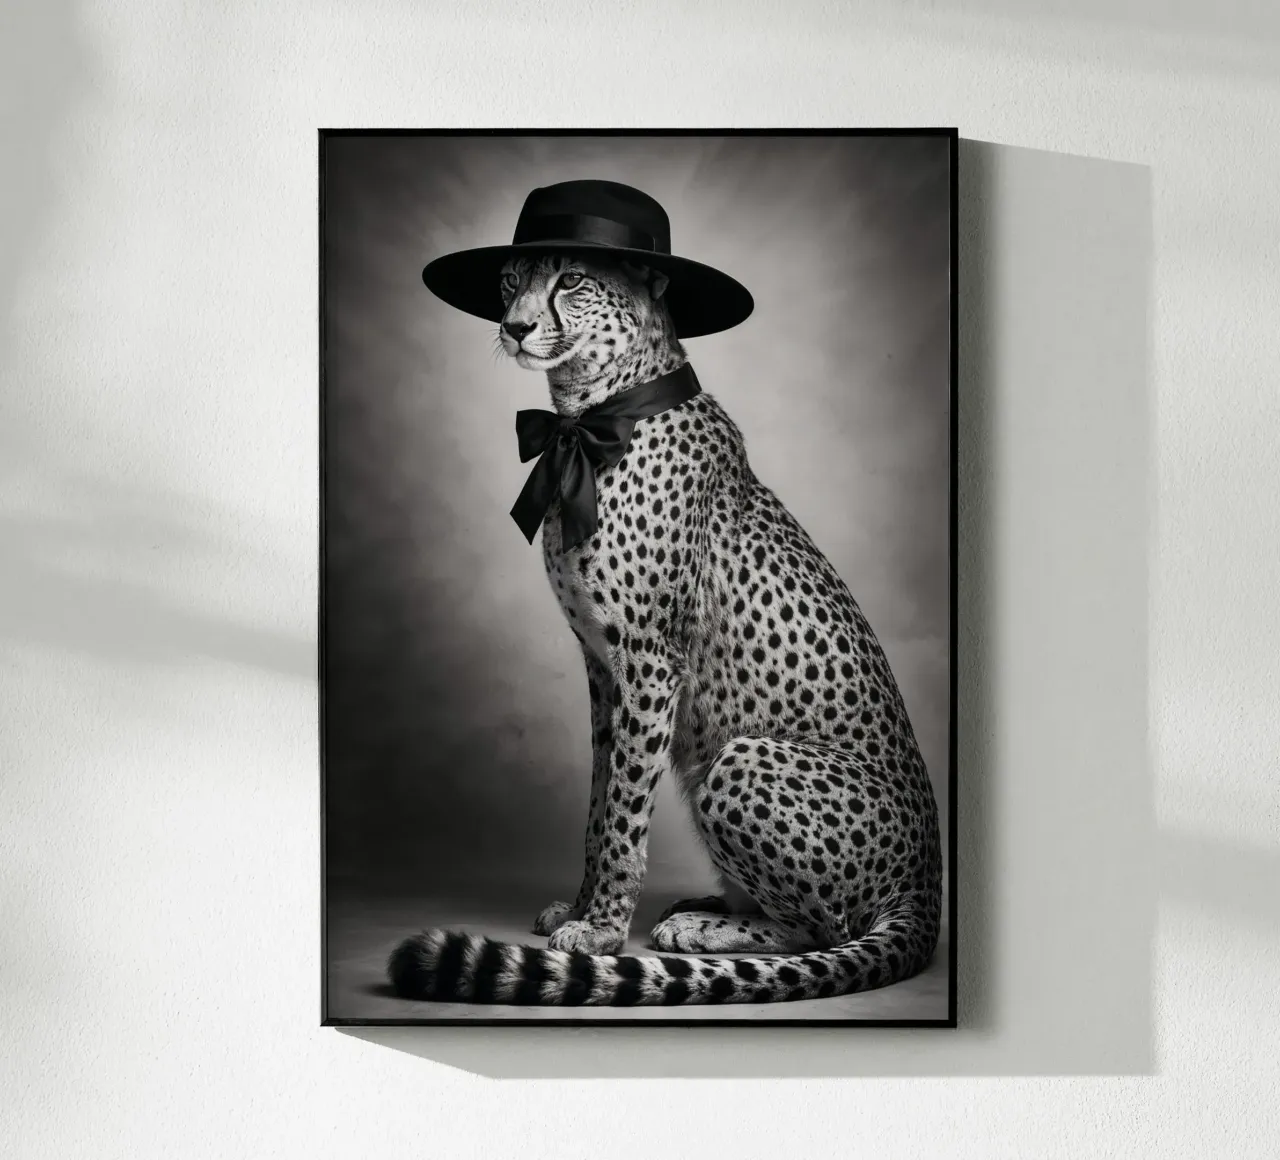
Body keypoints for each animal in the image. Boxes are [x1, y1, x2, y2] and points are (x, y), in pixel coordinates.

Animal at [388, 250, 943, 1005]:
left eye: (573, 279)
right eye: (511, 276)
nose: (515, 326)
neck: (593, 419)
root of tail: (928, 886)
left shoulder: (650, 663)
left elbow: (625, 811)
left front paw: (601, 932)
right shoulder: (603, 669)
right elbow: (601, 800)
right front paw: (583, 906)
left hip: (741, 759)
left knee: (821, 929)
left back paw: (705, 929)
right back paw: (710, 905)